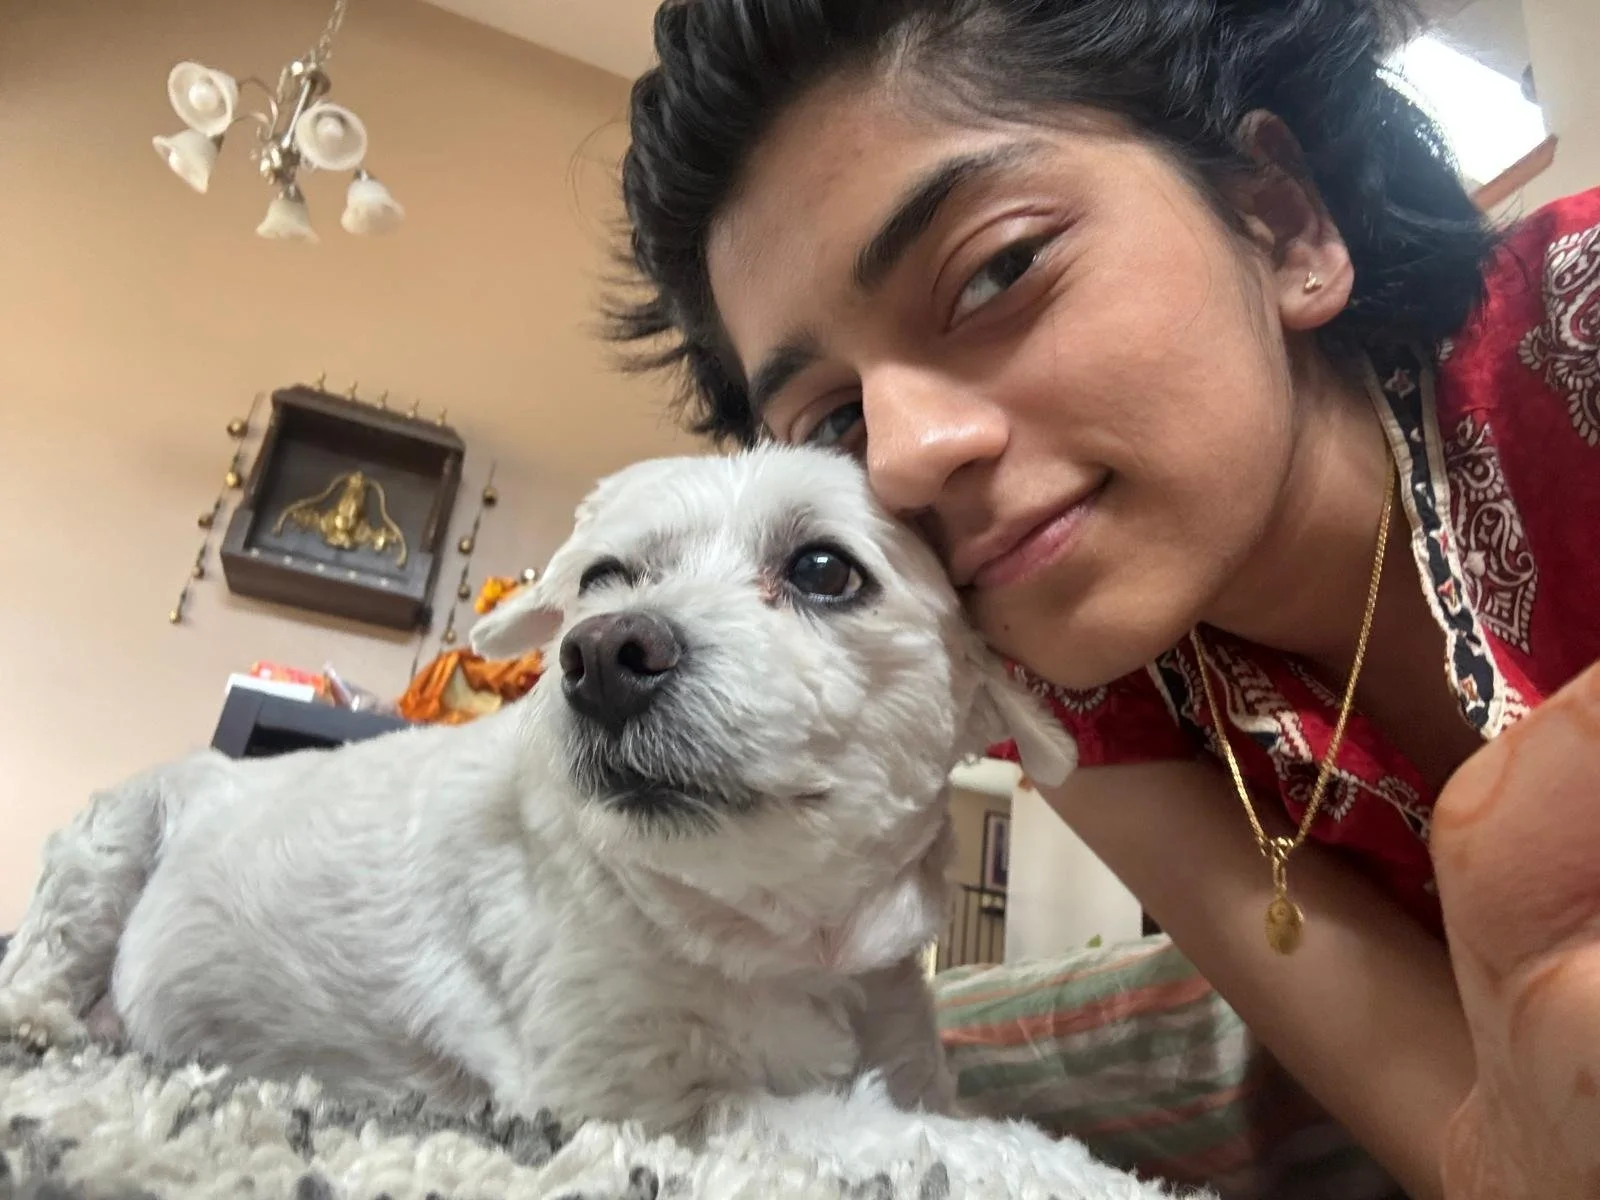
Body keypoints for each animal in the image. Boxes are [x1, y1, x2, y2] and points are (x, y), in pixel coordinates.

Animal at [0, 445, 1075, 1138]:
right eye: (603, 578)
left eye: (822, 568)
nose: (601, 655)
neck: (784, 942)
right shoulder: (641, 1101)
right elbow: (932, 1144)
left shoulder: (900, 1057)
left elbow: (944, 1113)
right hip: (111, 841)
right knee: (42, 959)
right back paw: (44, 1026)